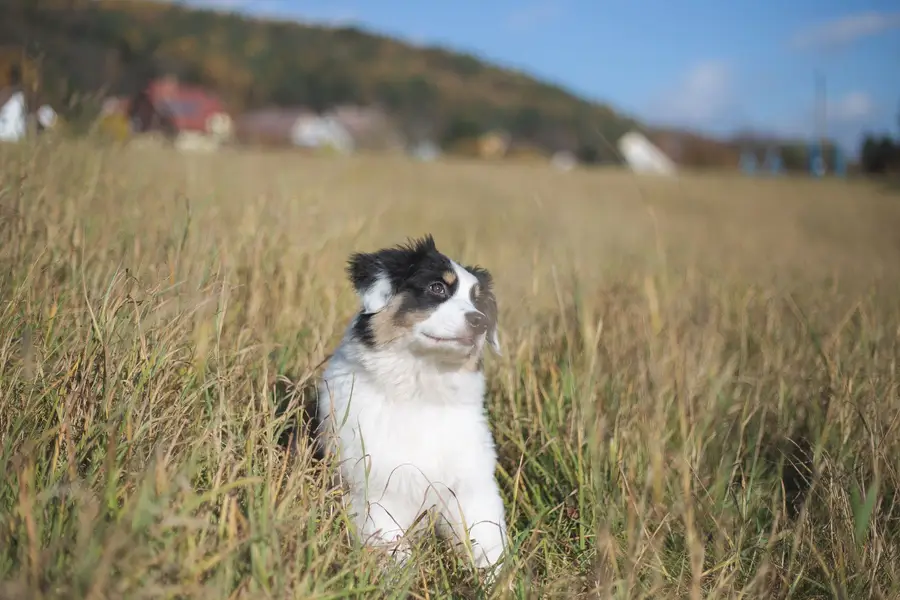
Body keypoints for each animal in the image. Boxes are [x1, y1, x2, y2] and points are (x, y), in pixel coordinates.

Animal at [318, 233, 510, 572]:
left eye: (478, 302)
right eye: (437, 288)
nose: (480, 322)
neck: (420, 390)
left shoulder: (473, 487)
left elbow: (488, 546)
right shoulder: (373, 491)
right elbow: (394, 554)